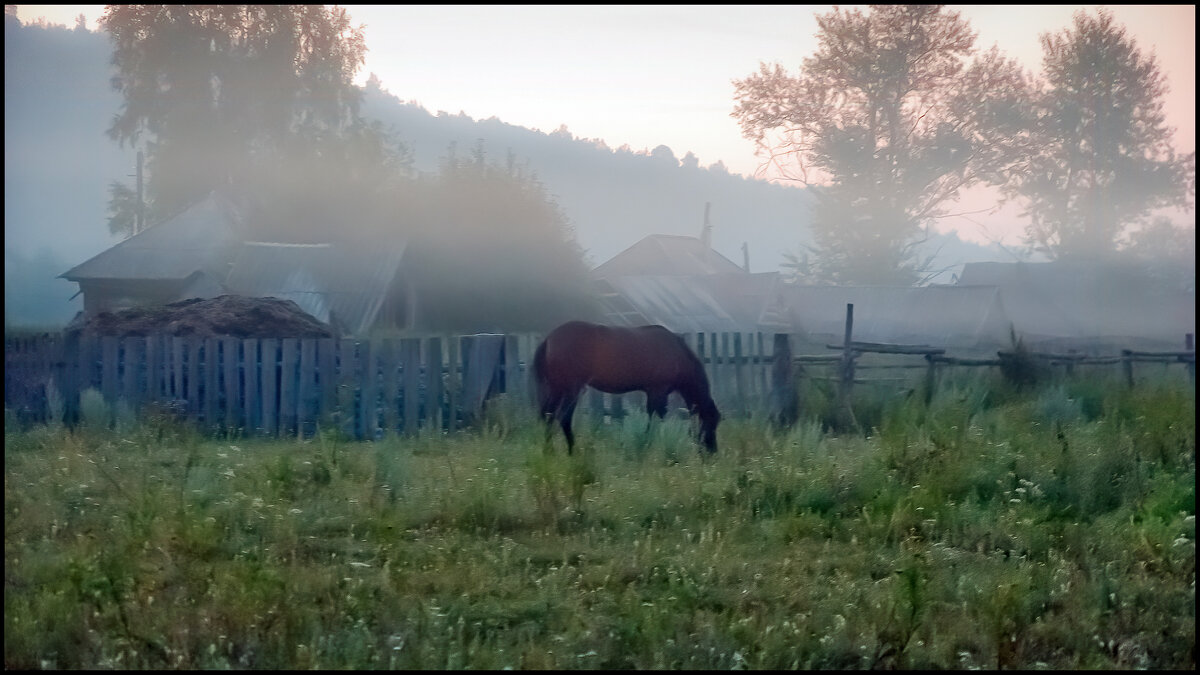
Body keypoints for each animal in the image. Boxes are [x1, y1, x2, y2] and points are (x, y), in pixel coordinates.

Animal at [530, 319, 715, 451]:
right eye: (713, 421)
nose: (712, 452)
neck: (677, 353)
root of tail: (549, 339)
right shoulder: (658, 391)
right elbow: (657, 418)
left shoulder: (652, 392)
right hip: (571, 389)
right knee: (563, 417)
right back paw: (572, 451)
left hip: (556, 389)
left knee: (547, 416)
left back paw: (548, 450)